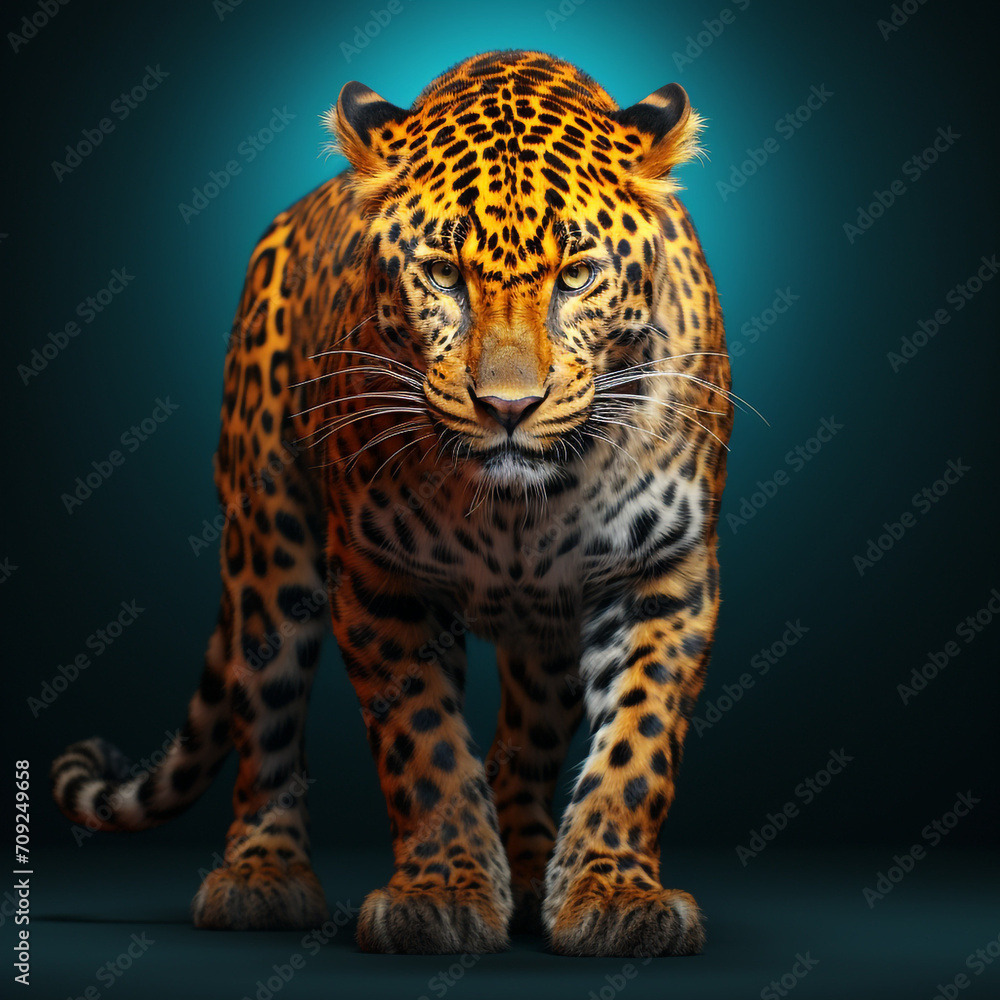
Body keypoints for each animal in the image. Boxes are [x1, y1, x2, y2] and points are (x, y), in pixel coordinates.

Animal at [51, 49, 733, 958]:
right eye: (442, 275)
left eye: (578, 276)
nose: (508, 407)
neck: (518, 508)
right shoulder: (377, 576)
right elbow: (425, 746)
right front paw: (439, 894)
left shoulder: (665, 571)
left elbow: (636, 743)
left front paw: (613, 894)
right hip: (269, 549)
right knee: (266, 724)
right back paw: (261, 877)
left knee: (528, 737)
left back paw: (526, 866)